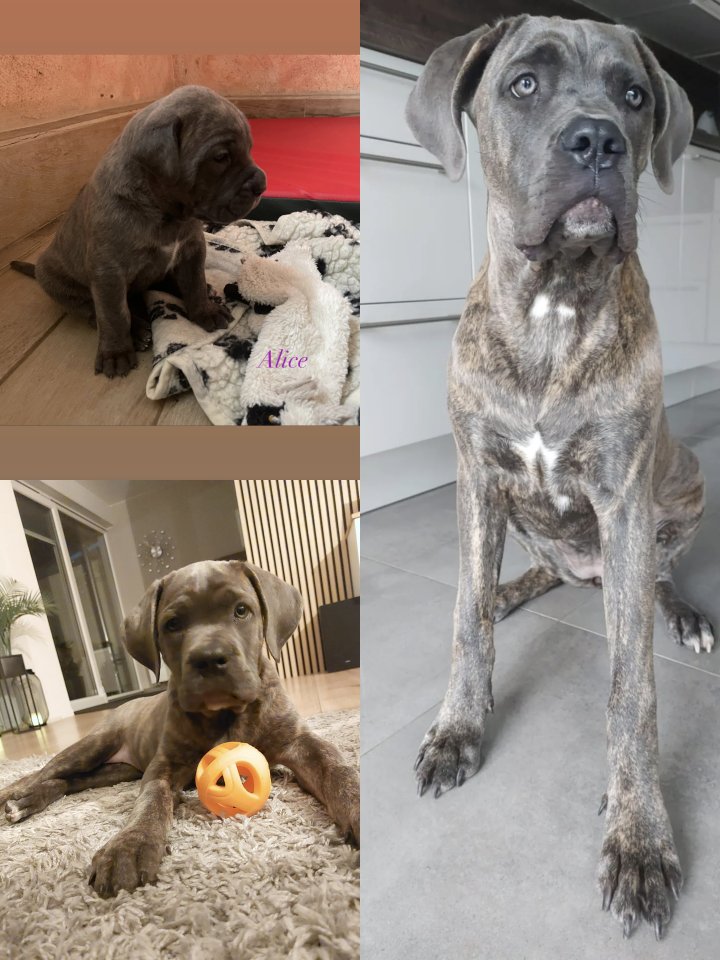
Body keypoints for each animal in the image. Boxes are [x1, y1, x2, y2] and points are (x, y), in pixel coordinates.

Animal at [0, 560, 359, 898]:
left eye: (241, 610)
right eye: (172, 624)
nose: (209, 658)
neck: (227, 715)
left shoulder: (299, 740)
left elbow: (336, 769)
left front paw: (357, 807)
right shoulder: (165, 765)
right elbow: (151, 800)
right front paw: (130, 845)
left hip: (115, 771)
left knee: (70, 782)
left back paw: (26, 802)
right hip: (93, 746)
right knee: (40, 773)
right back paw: (15, 796)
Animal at [11, 85, 266, 378]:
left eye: (250, 148)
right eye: (221, 157)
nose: (262, 184)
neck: (164, 211)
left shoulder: (192, 248)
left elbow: (194, 283)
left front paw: (205, 310)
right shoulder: (108, 272)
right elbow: (114, 314)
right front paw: (116, 352)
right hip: (52, 279)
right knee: (90, 308)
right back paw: (135, 330)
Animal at [406, 15, 714, 940]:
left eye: (635, 95)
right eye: (524, 85)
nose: (598, 139)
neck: (555, 304)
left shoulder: (623, 495)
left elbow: (632, 690)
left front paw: (639, 837)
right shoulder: (476, 476)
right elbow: (466, 626)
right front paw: (458, 728)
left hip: (680, 492)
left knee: (653, 578)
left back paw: (680, 613)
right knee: (515, 582)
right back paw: (513, 592)